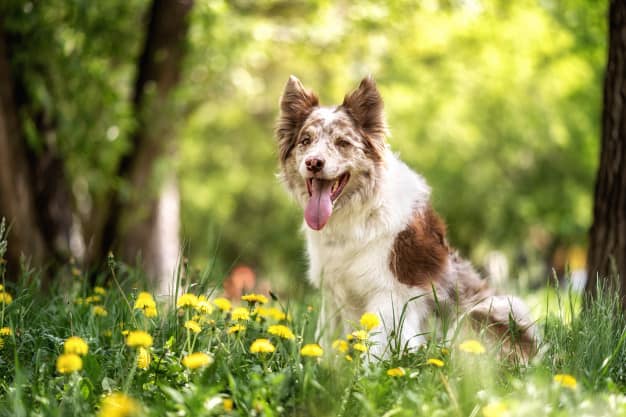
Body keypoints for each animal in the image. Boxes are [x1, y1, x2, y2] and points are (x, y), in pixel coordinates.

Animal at [276, 75, 532, 358]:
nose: (313, 163)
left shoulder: (391, 293)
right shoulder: (332, 293)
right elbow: (328, 345)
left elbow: (375, 350)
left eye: (342, 143)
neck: (355, 214)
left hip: (492, 309)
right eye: (305, 141)